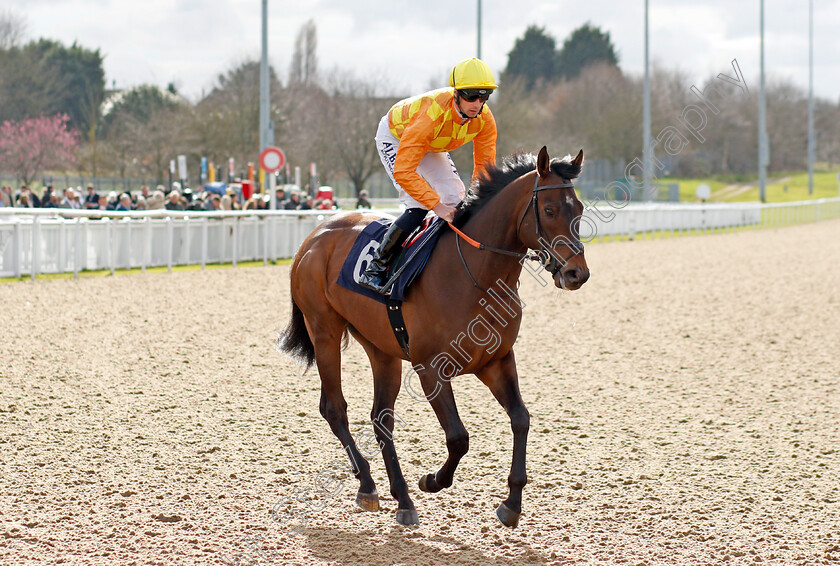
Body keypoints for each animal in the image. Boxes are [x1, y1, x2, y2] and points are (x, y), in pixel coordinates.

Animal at [278, 146, 588, 528]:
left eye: (580, 209)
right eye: (549, 210)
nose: (577, 273)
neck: (475, 276)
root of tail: (315, 235)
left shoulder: (496, 361)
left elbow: (521, 418)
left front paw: (512, 503)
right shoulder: (431, 368)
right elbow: (458, 437)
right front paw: (432, 480)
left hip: (381, 347)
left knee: (381, 418)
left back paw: (402, 498)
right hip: (323, 329)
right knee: (334, 408)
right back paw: (367, 484)